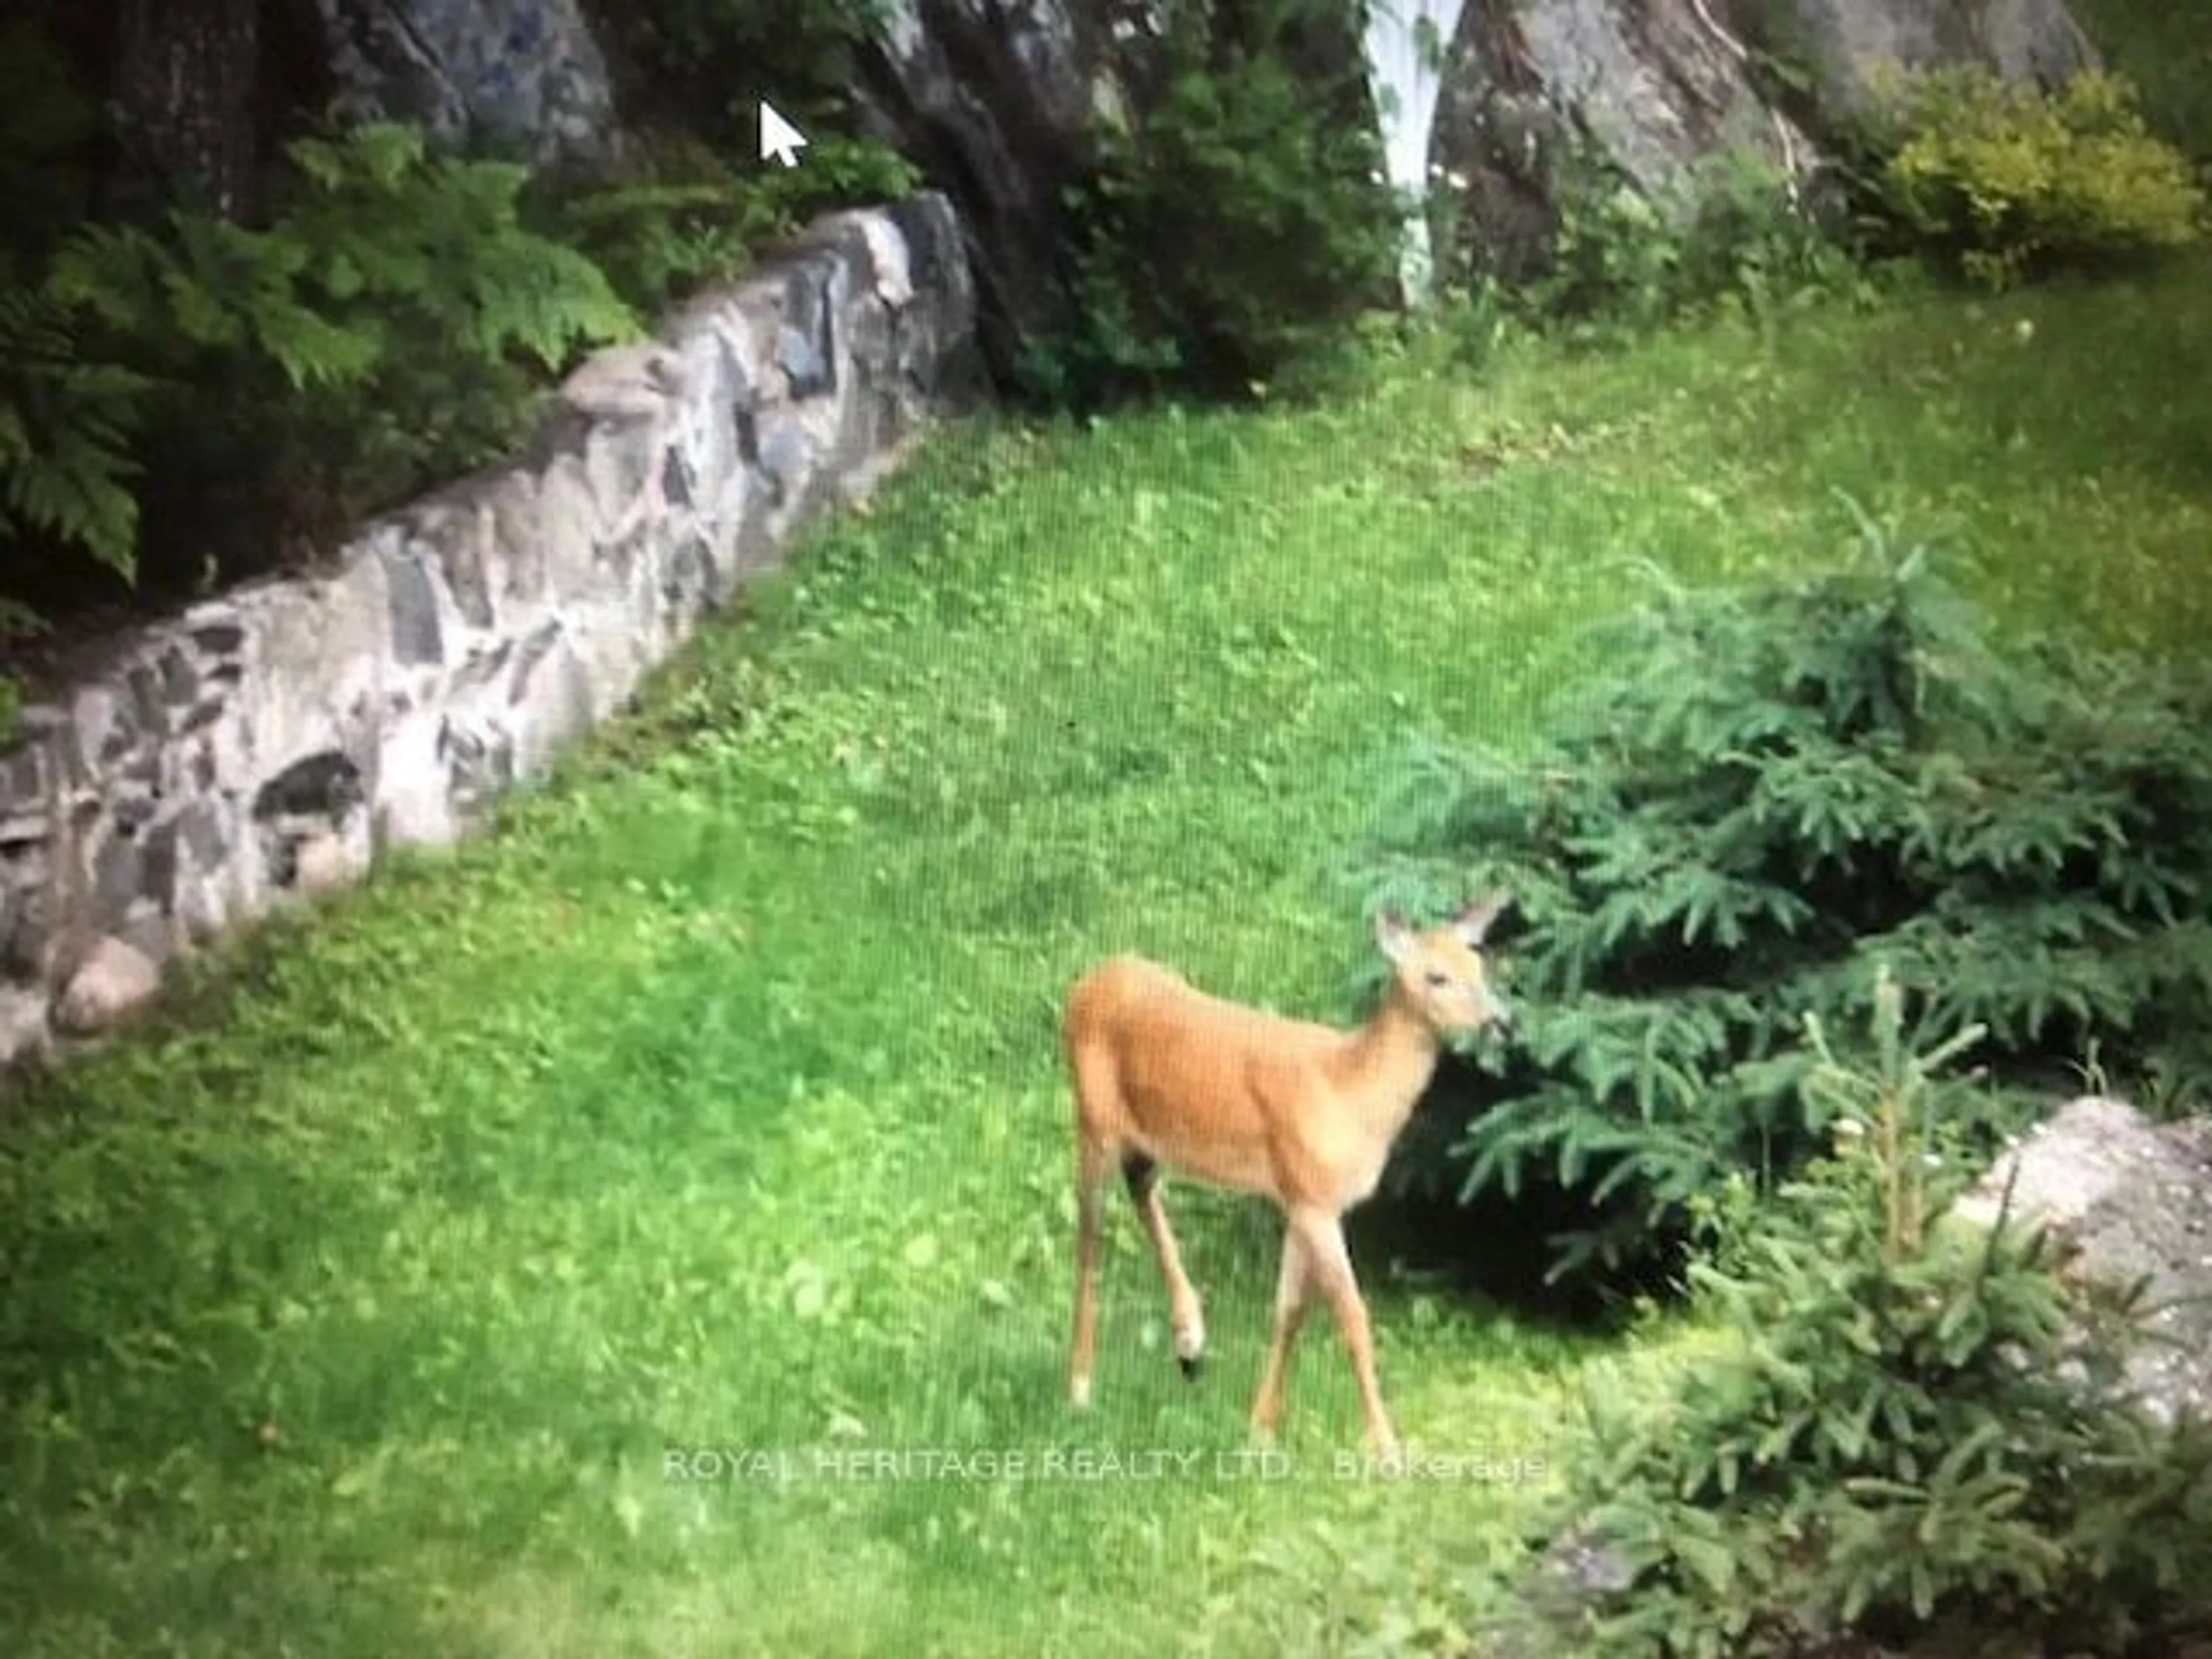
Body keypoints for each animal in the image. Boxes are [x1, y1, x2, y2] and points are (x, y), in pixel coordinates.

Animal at [1062, 898, 1513, 1451]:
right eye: (1437, 976)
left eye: (1480, 965)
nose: (1502, 1022)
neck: (1351, 1093)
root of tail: (1083, 987)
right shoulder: (1315, 1194)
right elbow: (1352, 1315)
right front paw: (1386, 1446)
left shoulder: (1297, 1195)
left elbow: (1290, 1310)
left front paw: (1259, 1430)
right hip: (1092, 1116)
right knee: (1089, 1239)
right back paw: (1080, 1387)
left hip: (1145, 1136)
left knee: (1140, 1185)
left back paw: (1190, 1342)